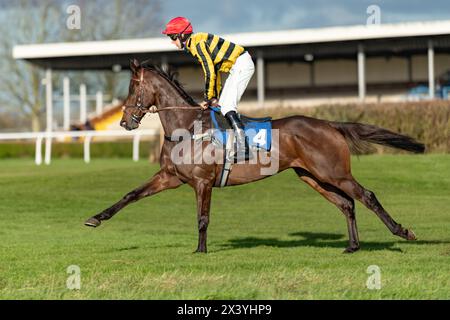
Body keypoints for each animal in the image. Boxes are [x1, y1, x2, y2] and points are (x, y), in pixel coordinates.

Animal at [85, 58, 426, 254]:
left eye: (132, 89)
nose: (124, 122)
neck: (187, 127)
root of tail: (329, 123)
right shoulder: (170, 177)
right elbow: (131, 195)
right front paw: (95, 218)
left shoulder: (202, 182)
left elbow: (202, 218)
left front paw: (200, 250)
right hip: (312, 176)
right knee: (347, 204)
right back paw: (353, 246)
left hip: (334, 172)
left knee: (366, 196)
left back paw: (403, 232)